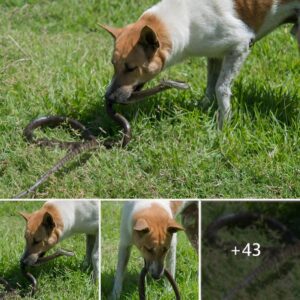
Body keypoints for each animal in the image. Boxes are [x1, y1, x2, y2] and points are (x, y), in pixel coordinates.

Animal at [101, 0, 300, 127]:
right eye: (113, 65)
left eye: (131, 68)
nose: (108, 97)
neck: (183, 19)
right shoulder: (215, 53)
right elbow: (210, 86)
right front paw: (203, 108)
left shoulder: (240, 45)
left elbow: (221, 88)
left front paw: (223, 125)